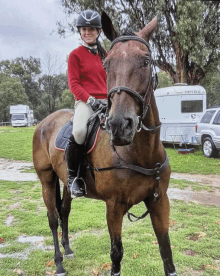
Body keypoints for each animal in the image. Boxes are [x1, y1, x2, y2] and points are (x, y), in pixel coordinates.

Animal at [32, 12, 177, 276]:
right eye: (106, 64)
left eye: (146, 61)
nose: (120, 125)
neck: (140, 152)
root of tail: (44, 123)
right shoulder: (114, 206)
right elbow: (116, 255)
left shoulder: (159, 200)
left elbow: (166, 251)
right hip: (46, 178)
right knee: (52, 218)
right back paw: (58, 262)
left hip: (66, 182)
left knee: (64, 211)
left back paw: (68, 250)